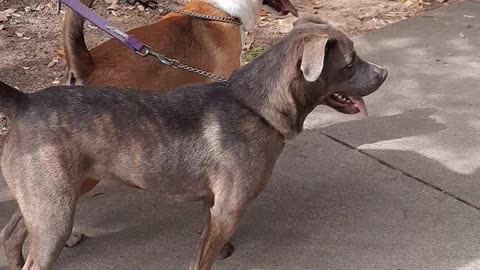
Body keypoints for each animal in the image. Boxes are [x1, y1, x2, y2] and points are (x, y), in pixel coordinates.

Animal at [0, 16, 386, 270]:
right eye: (349, 63)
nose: (384, 73)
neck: (256, 106)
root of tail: (24, 101)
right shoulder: (228, 211)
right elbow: (203, 258)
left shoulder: (214, 206)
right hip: (56, 211)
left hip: (54, 196)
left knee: (11, 233)